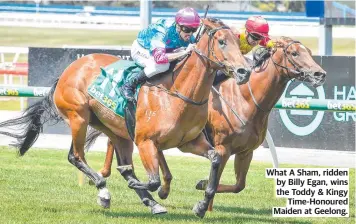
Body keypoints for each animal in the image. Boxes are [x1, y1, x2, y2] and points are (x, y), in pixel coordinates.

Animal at [0, 18, 250, 218]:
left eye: (238, 42)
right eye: (221, 41)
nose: (243, 71)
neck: (178, 93)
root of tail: (70, 68)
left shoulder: (189, 142)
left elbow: (215, 159)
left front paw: (200, 205)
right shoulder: (146, 141)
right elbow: (154, 179)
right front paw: (148, 187)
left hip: (117, 131)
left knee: (122, 165)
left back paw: (149, 201)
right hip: (78, 117)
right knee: (77, 156)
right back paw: (104, 191)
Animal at [93, 35, 326, 212]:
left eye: (309, 52)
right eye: (294, 53)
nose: (320, 74)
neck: (245, 100)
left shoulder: (246, 151)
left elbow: (239, 185)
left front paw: (202, 187)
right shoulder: (223, 147)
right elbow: (217, 176)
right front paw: (205, 200)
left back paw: (160, 186)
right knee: (118, 142)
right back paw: (106, 174)